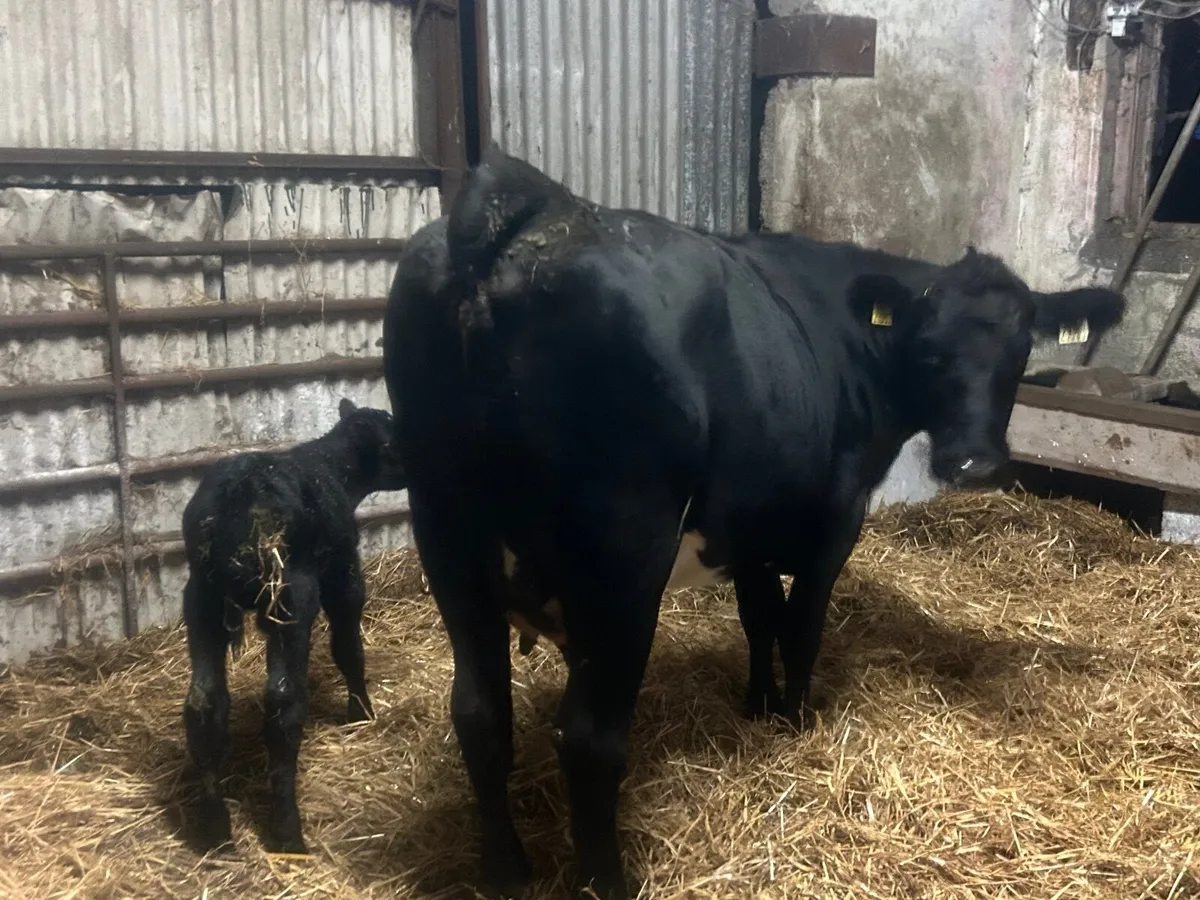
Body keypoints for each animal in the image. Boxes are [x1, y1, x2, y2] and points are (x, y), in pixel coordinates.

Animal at [180, 399, 406, 855]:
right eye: (393, 439)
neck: (332, 468)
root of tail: (235, 499)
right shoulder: (343, 576)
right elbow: (348, 649)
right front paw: (361, 712)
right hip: (291, 597)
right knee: (283, 704)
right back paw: (288, 831)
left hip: (202, 600)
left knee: (204, 705)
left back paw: (215, 831)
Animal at [382, 148, 1126, 899]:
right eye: (930, 348)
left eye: (1020, 351)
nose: (974, 463)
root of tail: (526, 204)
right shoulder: (834, 523)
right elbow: (801, 629)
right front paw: (796, 719)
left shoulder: (750, 528)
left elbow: (759, 616)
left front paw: (758, 706)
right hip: (623, 559)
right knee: (590, 737)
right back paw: (606, 879)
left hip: (447, 536)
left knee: (479, 714)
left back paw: (504, 871)